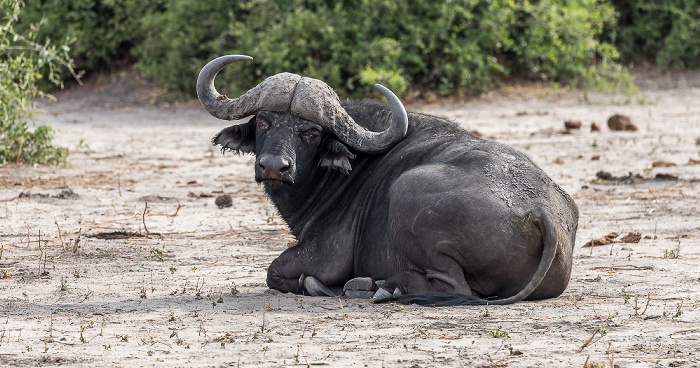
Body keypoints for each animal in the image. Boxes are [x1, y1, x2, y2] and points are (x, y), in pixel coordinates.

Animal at [197, 54, 580, 306]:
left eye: (310, 132)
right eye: (263, 121)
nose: (275, 167)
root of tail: (540, 210)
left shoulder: (325, 255)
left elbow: (276, 272)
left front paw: (320, 286)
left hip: (407, 189)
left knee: (454, 286)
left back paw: (381, 287)